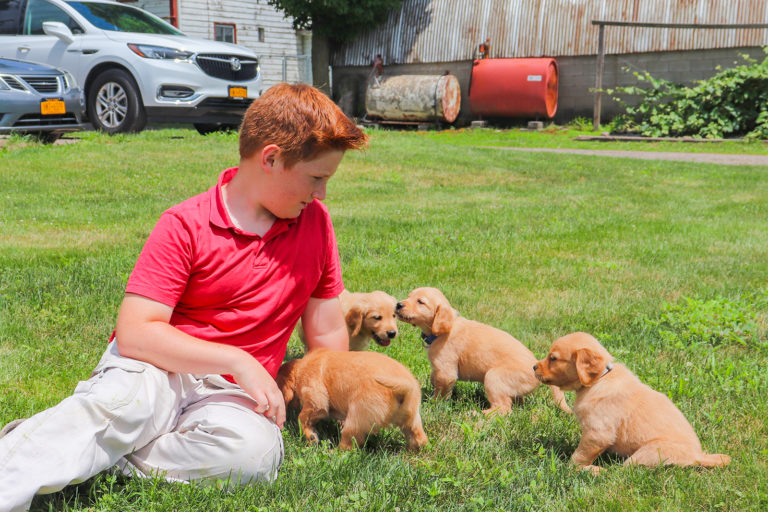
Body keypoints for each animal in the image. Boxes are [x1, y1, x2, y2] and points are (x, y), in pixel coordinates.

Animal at [278, 348, 432, 452]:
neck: (301, 368)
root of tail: (405, 389)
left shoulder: (316, 401)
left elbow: (302, 417)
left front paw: (311, 436)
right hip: (412, 420)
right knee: (419, 438)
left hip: (356, 417)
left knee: (348, 445)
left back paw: (333, 452)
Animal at [396, 288, 568, 416]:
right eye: (409, 296)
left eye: (420, 302)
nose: (398, 304)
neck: (442, 332)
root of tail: (537, 366)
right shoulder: (437, 369)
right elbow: (434, 381)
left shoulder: (446, 371)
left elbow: (441, 391)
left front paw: (433, 403)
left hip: (494, 378)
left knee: (503, 408)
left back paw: (477, 413)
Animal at [536, 332, 732, 472]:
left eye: (553, 358)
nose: (533, 367)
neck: (600, 379)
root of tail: (699, 456)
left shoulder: (597, 433)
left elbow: (580, 456)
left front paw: (570, 468)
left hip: (647, 453)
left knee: (622, 472)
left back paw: (598, 471)